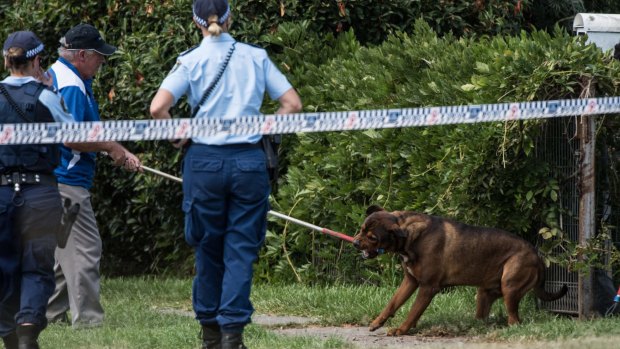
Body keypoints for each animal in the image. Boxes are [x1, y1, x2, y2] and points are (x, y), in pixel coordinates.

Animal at [354, 204, 568, 334]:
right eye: (362, 229)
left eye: (373, 237)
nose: (355, 243)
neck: (409, 235)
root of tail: (537, 256)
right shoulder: (411, 281)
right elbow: (393, 303)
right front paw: (377, 322)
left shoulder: (428, 287)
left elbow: (413, 310)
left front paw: (402, 329)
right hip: (485, 293)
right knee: (484, 315)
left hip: (511, 286)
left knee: (514, 320)